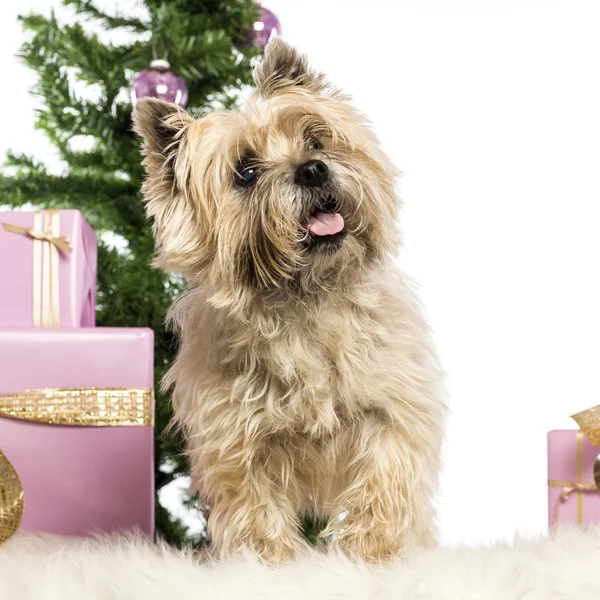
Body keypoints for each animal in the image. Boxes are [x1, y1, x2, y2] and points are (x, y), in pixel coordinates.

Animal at [135, 37, 446, 564]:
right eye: (245, 172)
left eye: (317, 140)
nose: (313, 170)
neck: (307, 300)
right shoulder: (237, 441)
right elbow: (256, 510)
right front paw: (272, 565)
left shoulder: (391, 412)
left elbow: (383, 484)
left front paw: (371, 555)